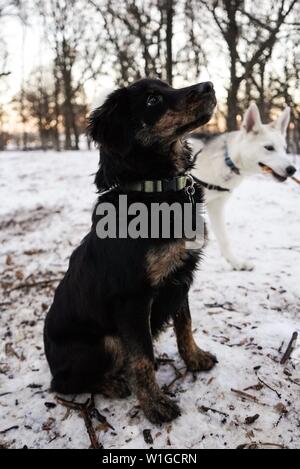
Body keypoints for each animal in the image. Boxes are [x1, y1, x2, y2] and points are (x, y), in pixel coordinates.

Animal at [44, 77, 217, 424]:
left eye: (168, 86)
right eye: (151, 100)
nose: (209, 86)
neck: (155, 189)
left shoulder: (179, 279)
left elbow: (185, 325)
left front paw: (195, 359)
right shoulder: (132, 299)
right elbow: (142, 357)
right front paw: (155, 404)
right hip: (106, 342)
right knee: (63, 383)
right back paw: (112, 385)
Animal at [191, 102, 296, 270]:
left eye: (284, 149)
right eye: (269, 148)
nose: (292, 169)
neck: (226, 161)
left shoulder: (216, 207)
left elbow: (224, 239)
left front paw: (236, 263)